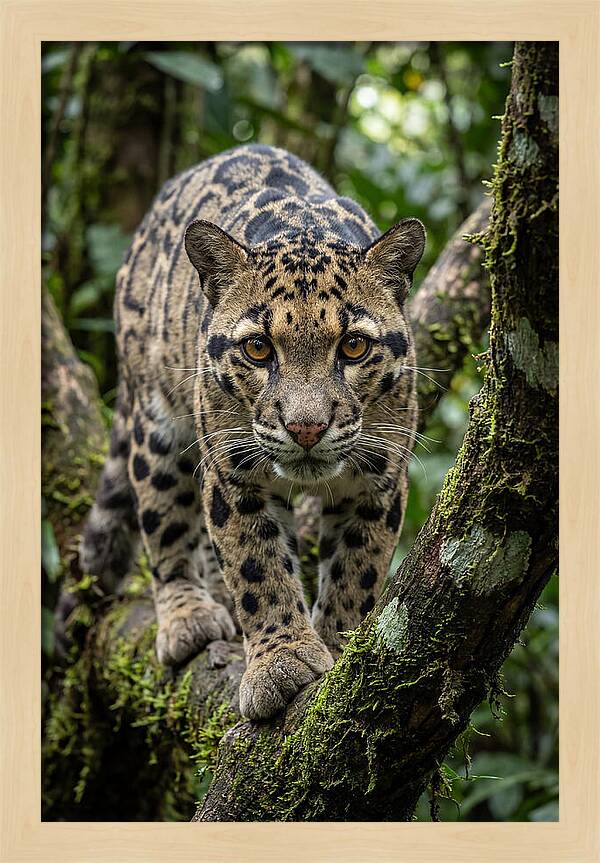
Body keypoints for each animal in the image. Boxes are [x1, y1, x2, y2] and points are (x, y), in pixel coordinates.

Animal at [80, 143, 425, 720]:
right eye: (259, 348)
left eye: (354, 346)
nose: (306, 427)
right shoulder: (233, 472)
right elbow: (256, 566)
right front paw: (281, 663)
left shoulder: (378, 477)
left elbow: (358, 569)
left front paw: (339, 647)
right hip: (155, 422)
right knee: (164, 522)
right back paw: (189, 615)